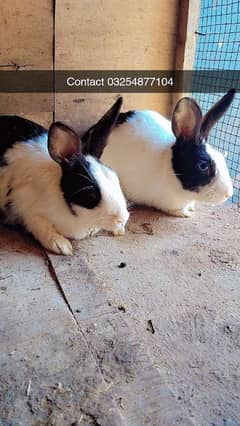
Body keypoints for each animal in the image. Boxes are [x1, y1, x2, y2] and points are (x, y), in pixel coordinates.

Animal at [0, 98, 129, 255]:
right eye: (91, 194)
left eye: (115, 178)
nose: (122, 219)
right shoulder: (24, 208)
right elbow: (40, 225)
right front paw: (62, 246)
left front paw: (119, 231)